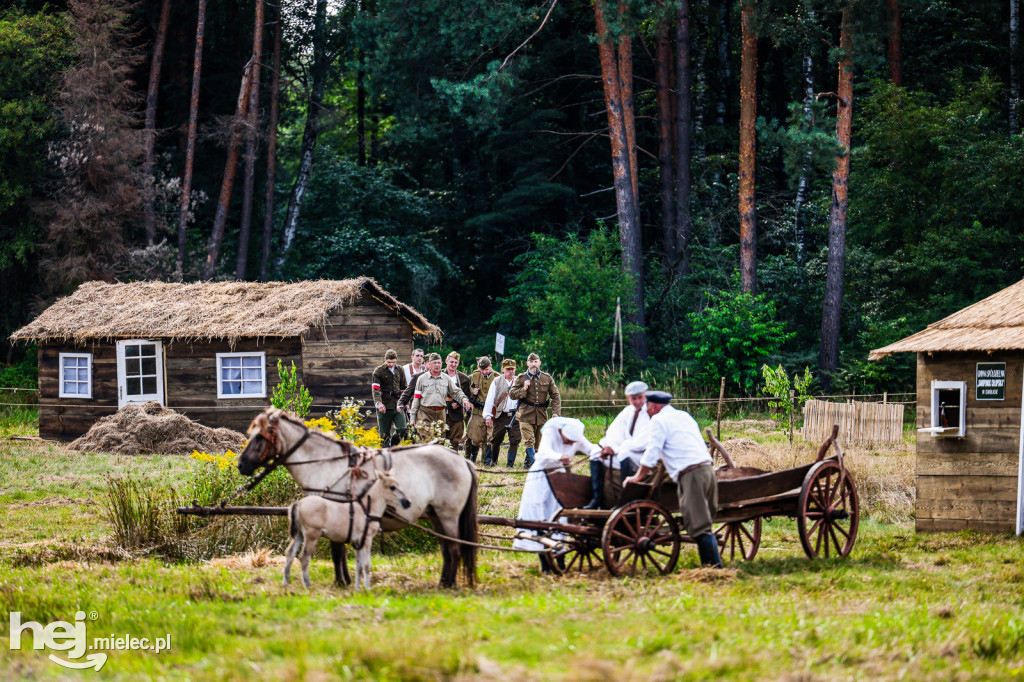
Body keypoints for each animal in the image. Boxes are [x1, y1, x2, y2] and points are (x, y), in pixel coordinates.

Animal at [239, 405, 479, 585]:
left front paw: (341, 581)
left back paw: (448, 584)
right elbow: (340, 549)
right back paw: (443, 581)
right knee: (447, 548)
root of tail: (462, 461)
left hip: (448, 515)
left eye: (260, 437)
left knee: (454, 548)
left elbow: (336, 551)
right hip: (436, 515)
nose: (241, 465)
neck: (325, 463)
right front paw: (344, 579)